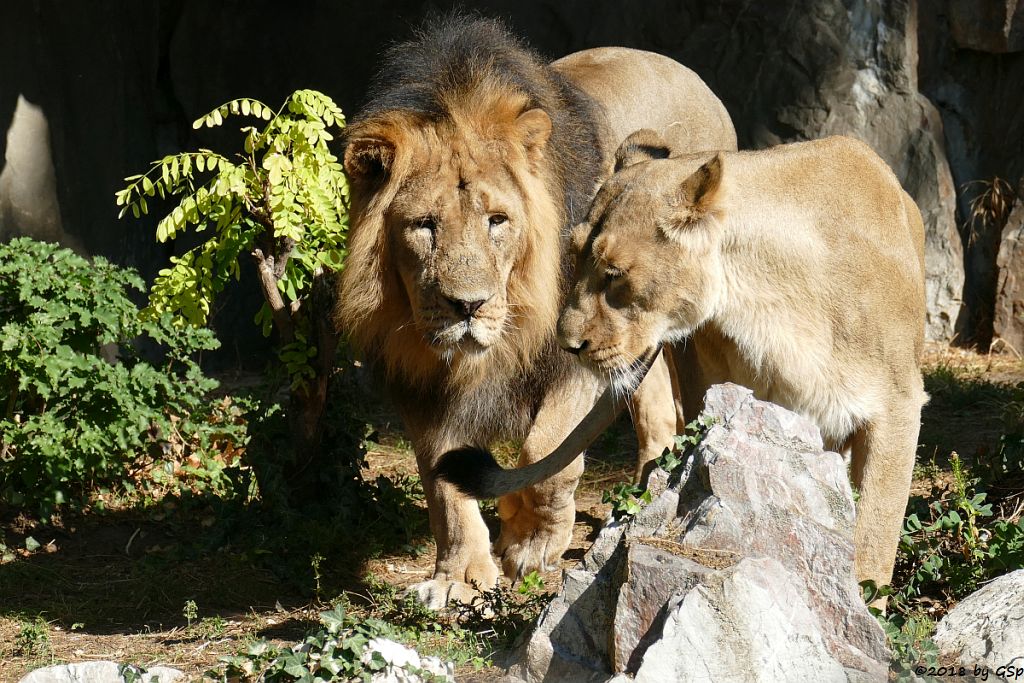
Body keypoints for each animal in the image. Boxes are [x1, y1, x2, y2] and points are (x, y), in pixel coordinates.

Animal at [335, 15, 737, 606]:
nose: (468, 306)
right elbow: (441, 481)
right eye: (424, 225)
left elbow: (545, 451)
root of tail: (693, 76)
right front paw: (458, 575)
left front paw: (532, 542)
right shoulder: (421, 378)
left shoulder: (577, 351)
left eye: (497, 220)